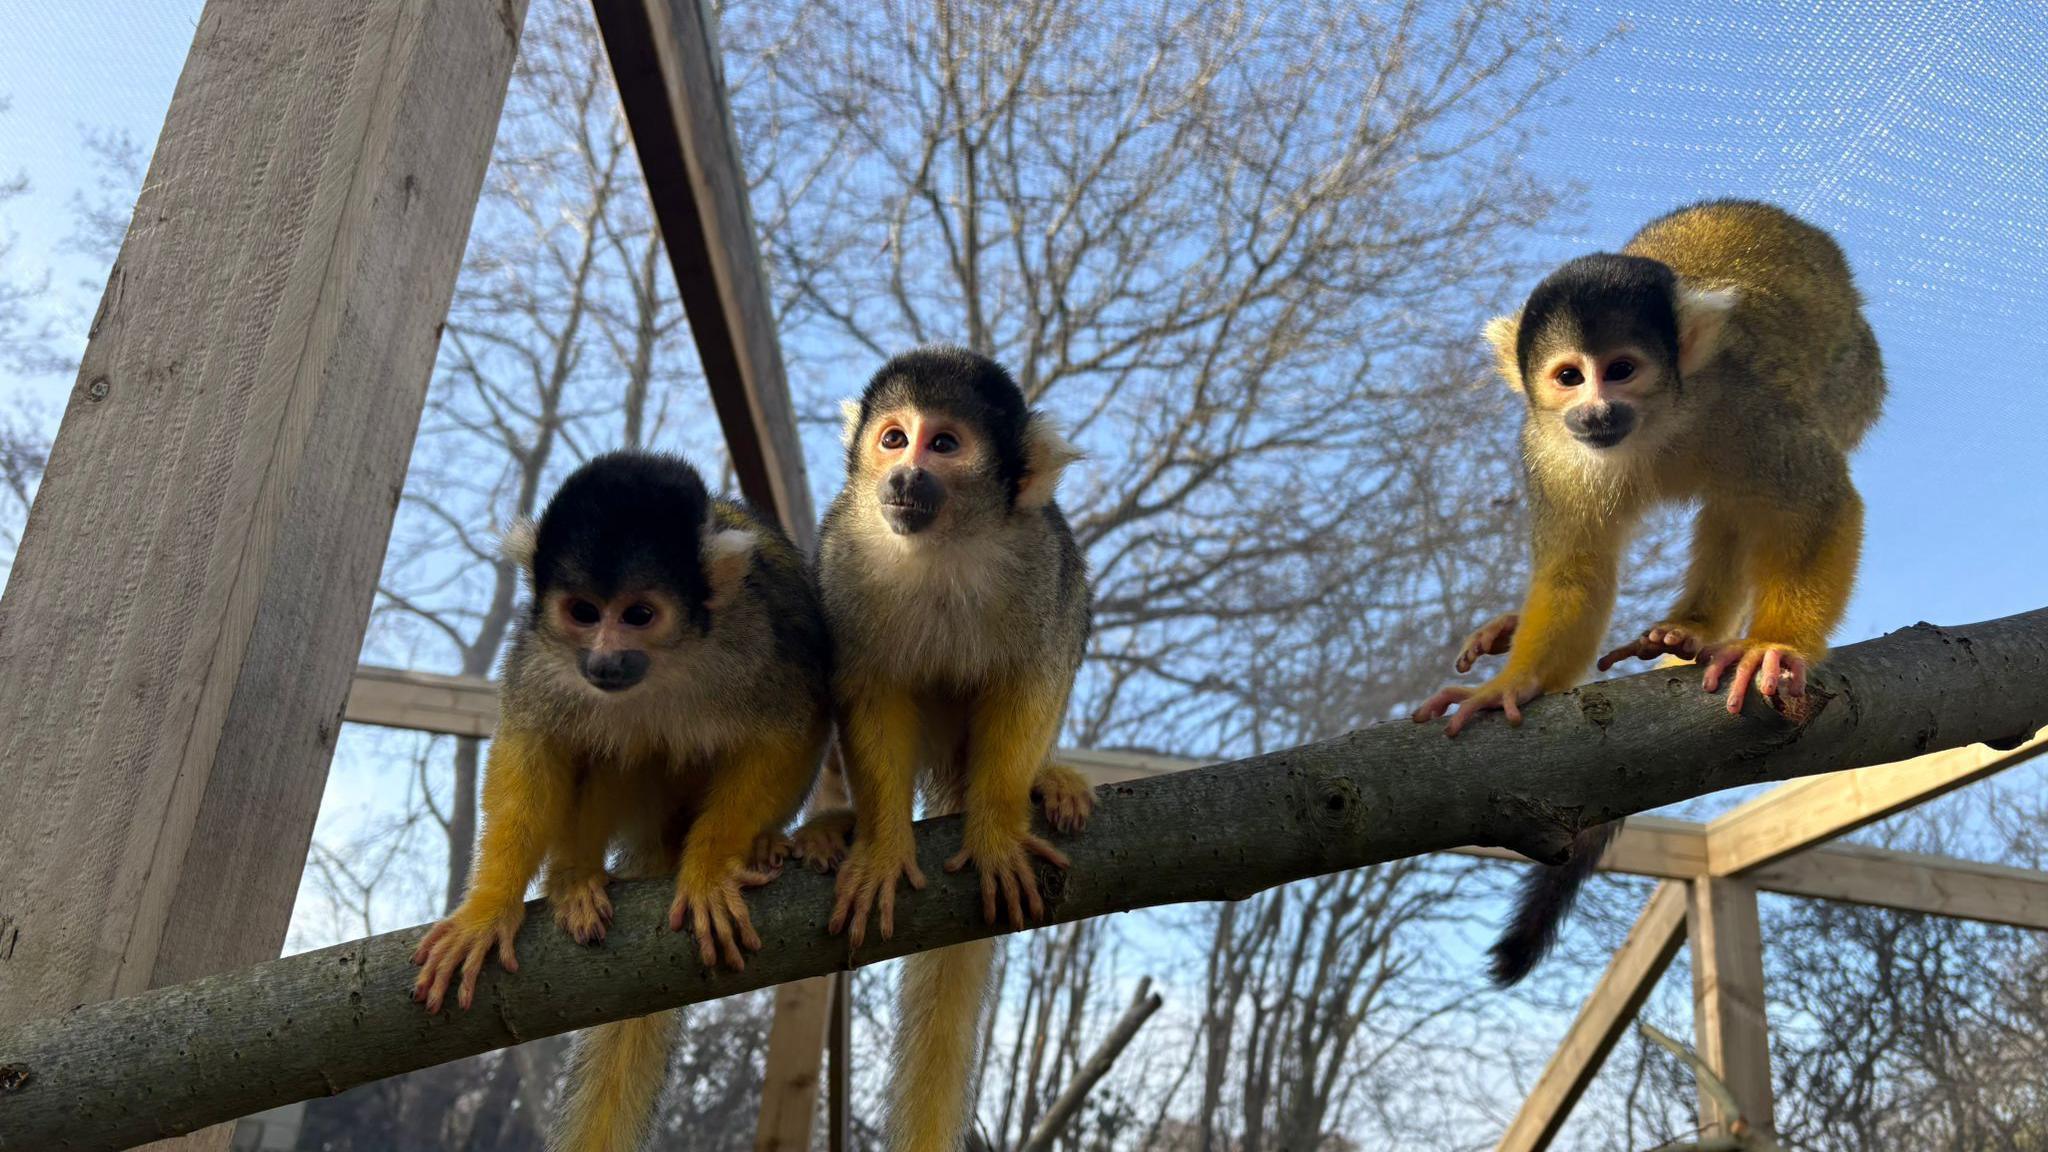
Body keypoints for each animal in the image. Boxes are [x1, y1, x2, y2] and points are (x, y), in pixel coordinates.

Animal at [407, 448, 831, 1147]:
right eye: (584, 612)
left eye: (638, 615)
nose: (605, 660)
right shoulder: (540, 651)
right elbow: (534, 743)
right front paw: (488, 908)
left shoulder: (758, 635)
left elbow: (791, 729)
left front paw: (710, 868)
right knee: (612, 743)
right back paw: (576, 876)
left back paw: (758, 843)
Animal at [815, 344, 1089, 1147]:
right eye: (894, 439)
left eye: (943, 444)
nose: (905, 477)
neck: (940, 546)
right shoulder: (841, 554)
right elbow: (865, 686)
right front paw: (881, 846)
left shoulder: (1041, 559)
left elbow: (1036, 670)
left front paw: (995, 828)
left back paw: (1045, 781)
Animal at [1417, 201, 1875, 983]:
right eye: (1570, 376)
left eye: (1622, 371)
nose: (1596, 411)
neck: (1657, 424)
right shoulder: (1549, 445)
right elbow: (1576, 572)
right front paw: (1509, 685)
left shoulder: (1749, 404)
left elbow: (1820, 507)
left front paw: (1774, 647)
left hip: (1854, 382)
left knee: (1742, 501)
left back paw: (1698, 631)